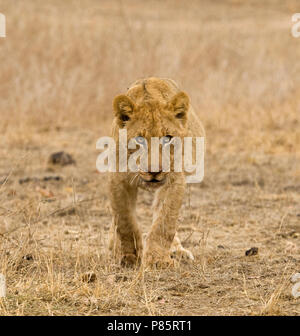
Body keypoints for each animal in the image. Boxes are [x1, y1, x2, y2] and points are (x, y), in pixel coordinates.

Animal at [108, 77, 204, 270]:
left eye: (167, 138)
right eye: (139, 139)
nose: (154, 171)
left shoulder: (175, 180)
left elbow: (165, 221)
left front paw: (158, 260)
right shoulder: (117, 180)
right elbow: (124, 220)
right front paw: (129, 256)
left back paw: (177, 251)